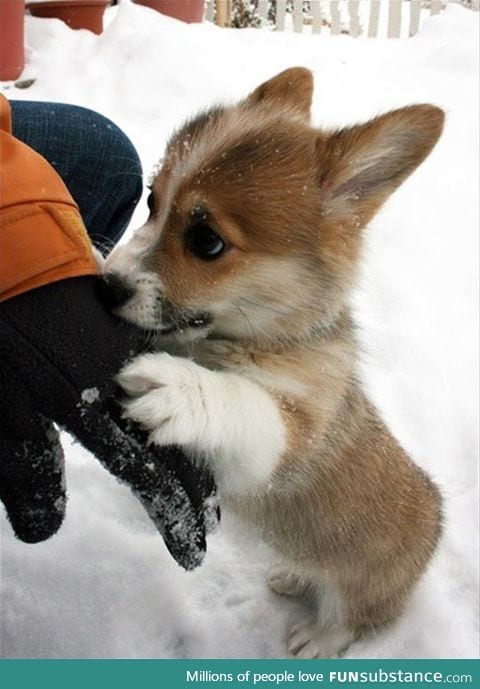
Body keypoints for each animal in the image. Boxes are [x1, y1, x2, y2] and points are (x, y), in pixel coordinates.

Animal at [104, 68, 442, 656]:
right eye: (151, 200)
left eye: (207, 241)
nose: (104, 285)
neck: (260, 338)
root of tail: (436, 522)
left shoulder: (286, 440)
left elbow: (244, 403)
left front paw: (178, 390)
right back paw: (292, 576)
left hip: (360, 588)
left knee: (352, 617)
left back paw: (318, 639)